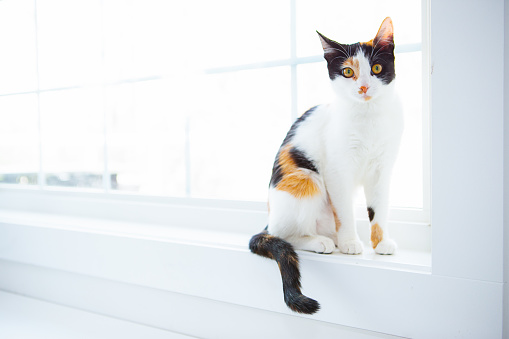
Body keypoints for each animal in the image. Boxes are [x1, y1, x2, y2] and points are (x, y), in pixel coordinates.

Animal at [248, 17, 402, 316]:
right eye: (347, 72)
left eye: (377, 68)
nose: (363, 87)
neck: (368, 117)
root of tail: (270, 218)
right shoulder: (337, 170)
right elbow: (344, 210)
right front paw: (352, 242)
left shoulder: (382, 169)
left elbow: (378, 209)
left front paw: (380, 243)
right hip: (306, 178)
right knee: (285, 234)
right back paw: (322, 242)